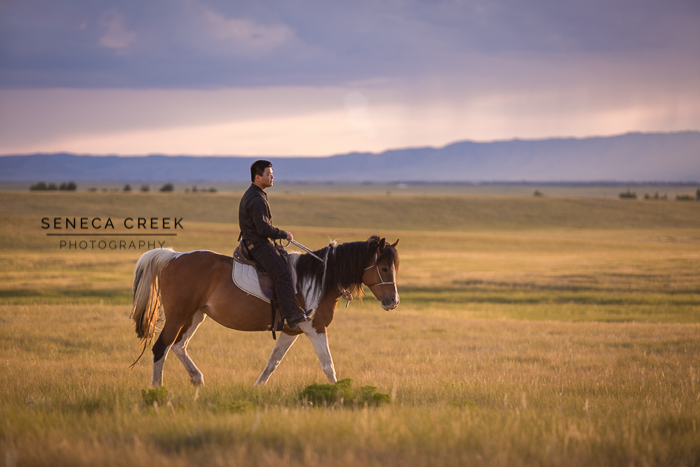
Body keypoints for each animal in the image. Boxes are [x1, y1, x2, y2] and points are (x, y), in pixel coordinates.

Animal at [129, 235, 400, 387]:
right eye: (384, 268)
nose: (393, 302)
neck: (319, 278)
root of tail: (174, 256)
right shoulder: (315, 329)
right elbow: (328, 365)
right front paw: (338, 393)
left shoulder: (291, 331)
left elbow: (273, 362)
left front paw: (257, 388)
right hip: (178, 316)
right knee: (160, 348)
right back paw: (157, 391)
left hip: (195, 316)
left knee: (178, 346)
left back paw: (197, 379)